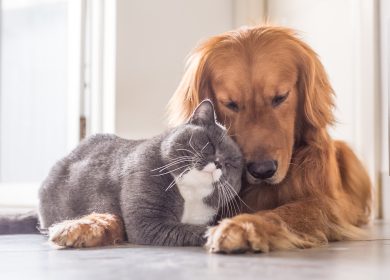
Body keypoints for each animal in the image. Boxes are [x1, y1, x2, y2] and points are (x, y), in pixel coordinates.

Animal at [0, 99, 244, 246]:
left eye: (231, 164)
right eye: (210, 144)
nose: (218, 163)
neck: (190, 195)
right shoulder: (147, 222)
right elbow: (194, 230)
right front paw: (221, 233)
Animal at [167, 26, 372, 254]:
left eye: (280, 97)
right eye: (231, 104)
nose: (262, 170)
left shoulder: (326, 202)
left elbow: (286, 212)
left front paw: (243, 226)